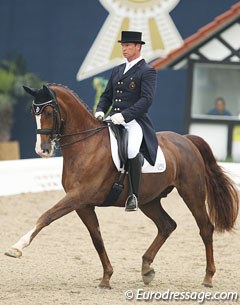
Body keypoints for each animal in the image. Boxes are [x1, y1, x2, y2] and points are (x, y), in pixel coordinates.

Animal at [4, 83, 239, 288]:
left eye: (48, 112)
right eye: (33, 112)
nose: (42, 150)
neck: (86, 145)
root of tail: (186, 139)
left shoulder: (78, 196)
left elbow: (47, 216)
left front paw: (16, 247)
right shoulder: (83, 204)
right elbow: (97, 238)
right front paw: (106, 278)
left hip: (192, 193)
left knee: (205, 228)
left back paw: (208, 277)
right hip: (149, 200)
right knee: (167, 225)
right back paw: (146, 269)